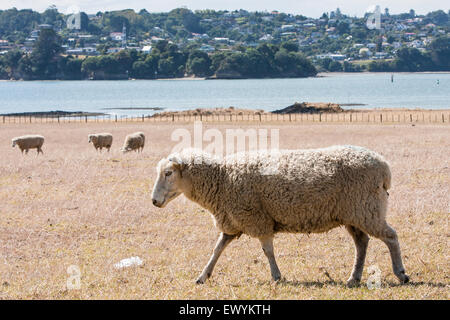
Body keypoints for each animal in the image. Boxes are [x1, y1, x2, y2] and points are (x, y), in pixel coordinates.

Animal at [150, 146, 408, 286]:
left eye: (168, 173)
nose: (154, 201)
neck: (222, 179)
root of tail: (384, 167)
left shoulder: (257, 219)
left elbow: (267, 251)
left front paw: (276, 276)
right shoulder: (233, 223)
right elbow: (217, 250)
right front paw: (203, 276)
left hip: (368, 209)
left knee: (391, 237)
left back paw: (401, 273)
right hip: (354, 214)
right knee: (362, 243)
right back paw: (353, 278)